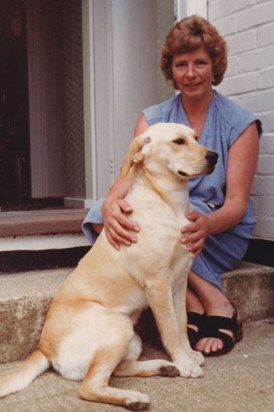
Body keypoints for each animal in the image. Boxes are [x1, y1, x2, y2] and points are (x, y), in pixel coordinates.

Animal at [0, 121, 218, 408]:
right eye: (178, 142)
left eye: (196, 137)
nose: (214, 156)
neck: (168, 203)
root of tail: (43, 348)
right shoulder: (158, 284)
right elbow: (170, 330)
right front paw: (185, 363)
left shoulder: (179, 283)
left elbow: (181, 324)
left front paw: (189, 355)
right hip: (119, 326)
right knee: (89, 387)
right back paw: (133, 397)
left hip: (132, 338)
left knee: (118, 370)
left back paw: (161, 367)